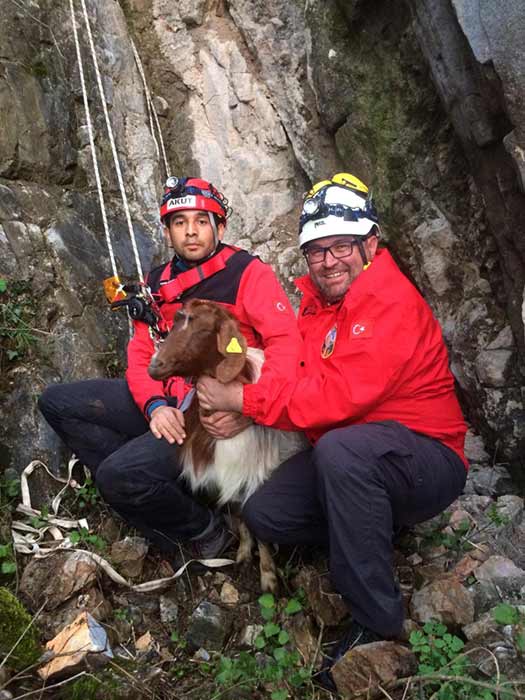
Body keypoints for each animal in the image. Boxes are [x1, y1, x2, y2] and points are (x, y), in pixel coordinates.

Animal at [146, 296, 308, 592]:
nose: (154, 366)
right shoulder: (229, 474)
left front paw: (268, 578)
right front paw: (243, 555)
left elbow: (257, 524)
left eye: (203, 331)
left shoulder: (255, 473)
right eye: (175, 322)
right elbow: (239, 514)